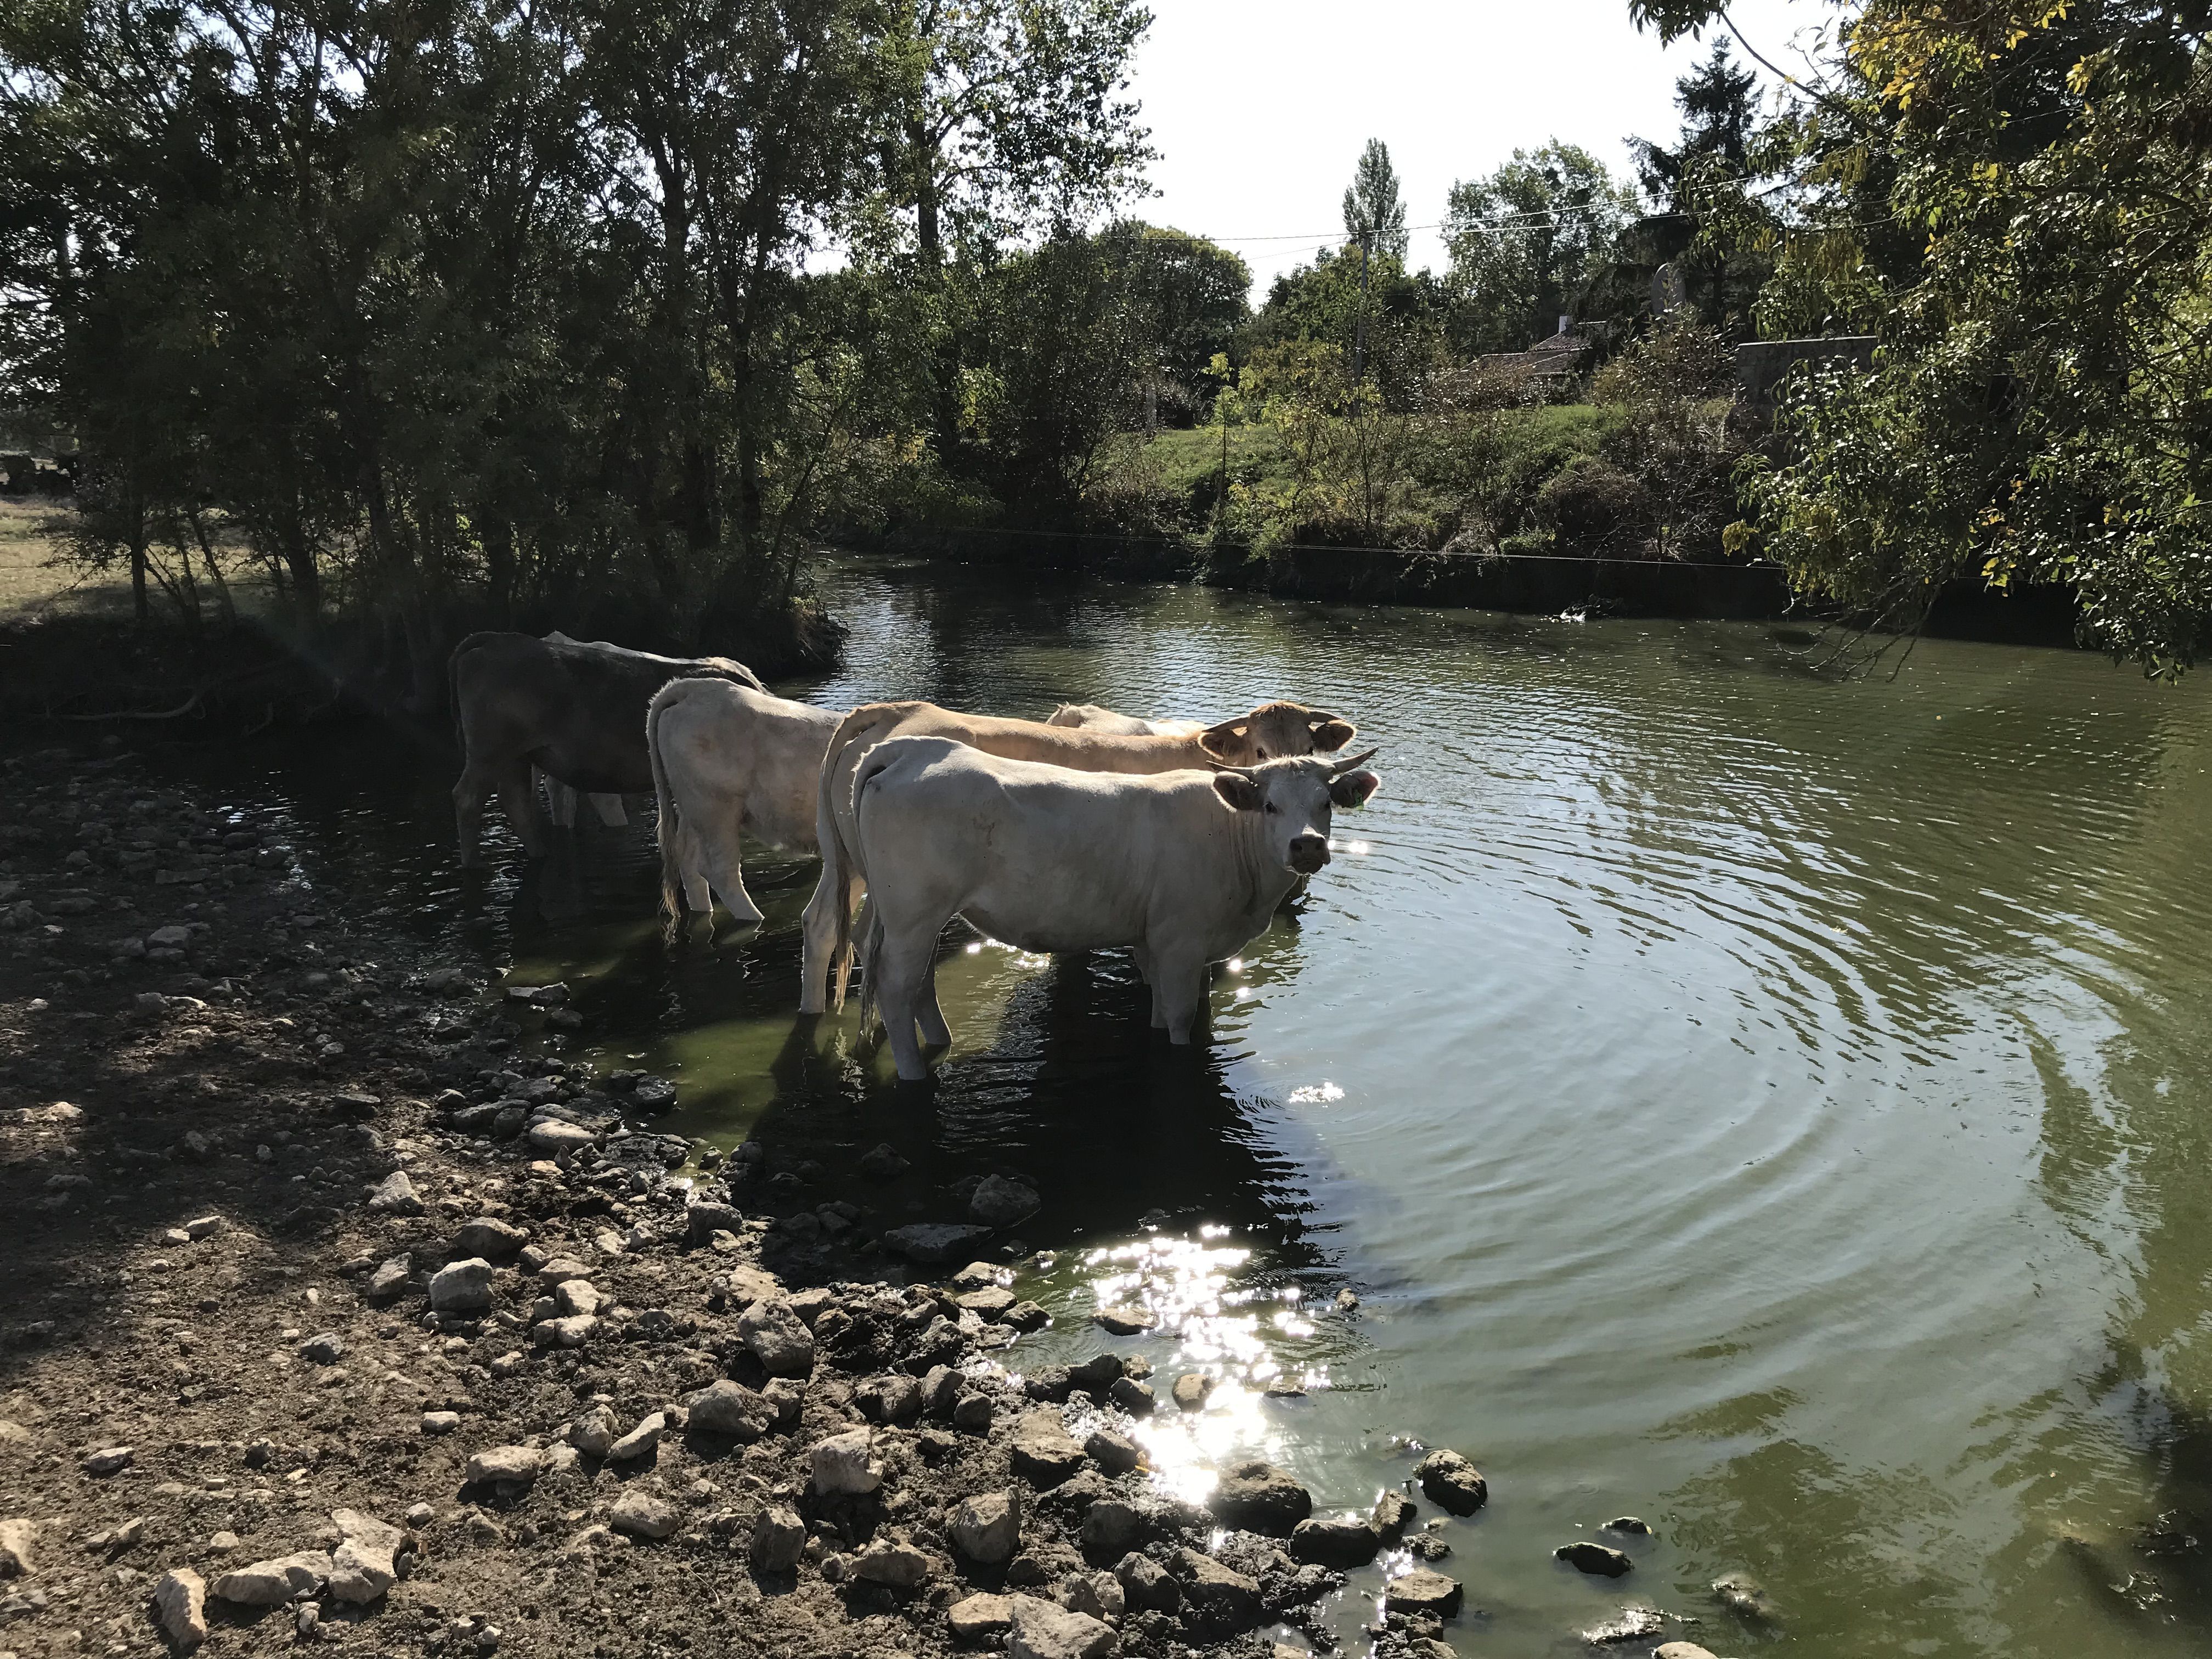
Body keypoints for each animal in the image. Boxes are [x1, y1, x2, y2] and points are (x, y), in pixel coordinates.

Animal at [448, 630, 763, 864]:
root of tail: (497, 639)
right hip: (491, 750)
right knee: (468, 799)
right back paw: (473, 865)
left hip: (518, 756)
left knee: (517, 801)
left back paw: (540, 855)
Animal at [644, 675, 844, 932]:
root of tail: (696, 686)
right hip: (716, 808)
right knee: (720, 869)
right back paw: (755, 919)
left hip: (693, 807)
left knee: (688, 858)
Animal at [799, 698, 1357, 1014]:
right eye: (1261, 752)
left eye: (1313, 748)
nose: (1304, 843)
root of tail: (899, 711)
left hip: (848, 862)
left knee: (825, 924)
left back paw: (814, 1014)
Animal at [852, 737, 1381, 1079]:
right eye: (1270, 806)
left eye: (1326, 804)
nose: (1306, 845)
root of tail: (913, 748)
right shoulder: (1181, 943)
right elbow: (1183, 1017)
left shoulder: (1159, 943)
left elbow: (1165, 1010)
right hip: (914, 912)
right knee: (896, 987)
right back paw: (914, 1072)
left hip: (908, 916)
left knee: (917, 979)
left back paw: (940, 1042)